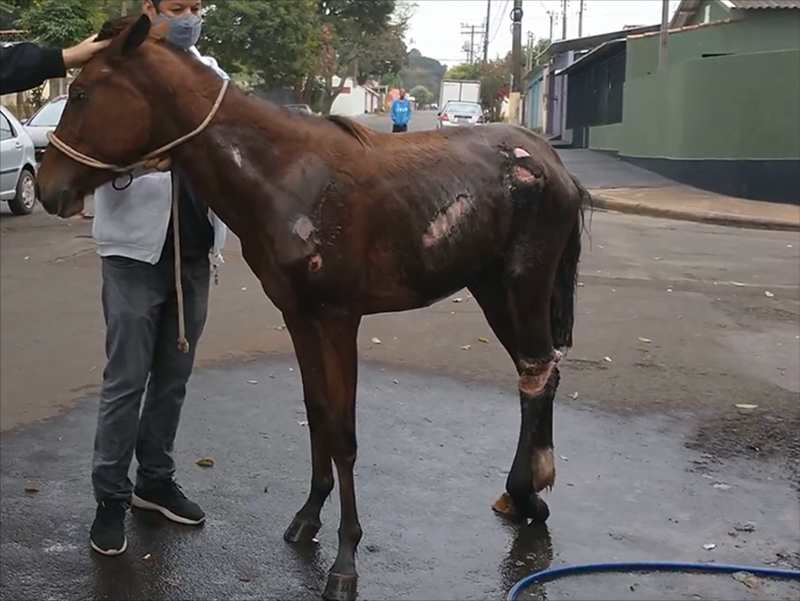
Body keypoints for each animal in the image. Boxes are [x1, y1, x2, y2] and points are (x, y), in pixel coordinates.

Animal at [36, 14, 588, 600]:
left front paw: (345, 559)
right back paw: (524, 493)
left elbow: (342, 432)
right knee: (539, 372)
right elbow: (318, 413)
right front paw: (309, 516)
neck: (285, 175)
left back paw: (528, 493)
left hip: (522, 286)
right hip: (492, 289)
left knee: (536, 374)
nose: (47, 187)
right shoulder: (299, 316)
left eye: (82, 93)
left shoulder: (339, 318)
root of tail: (552, 163)